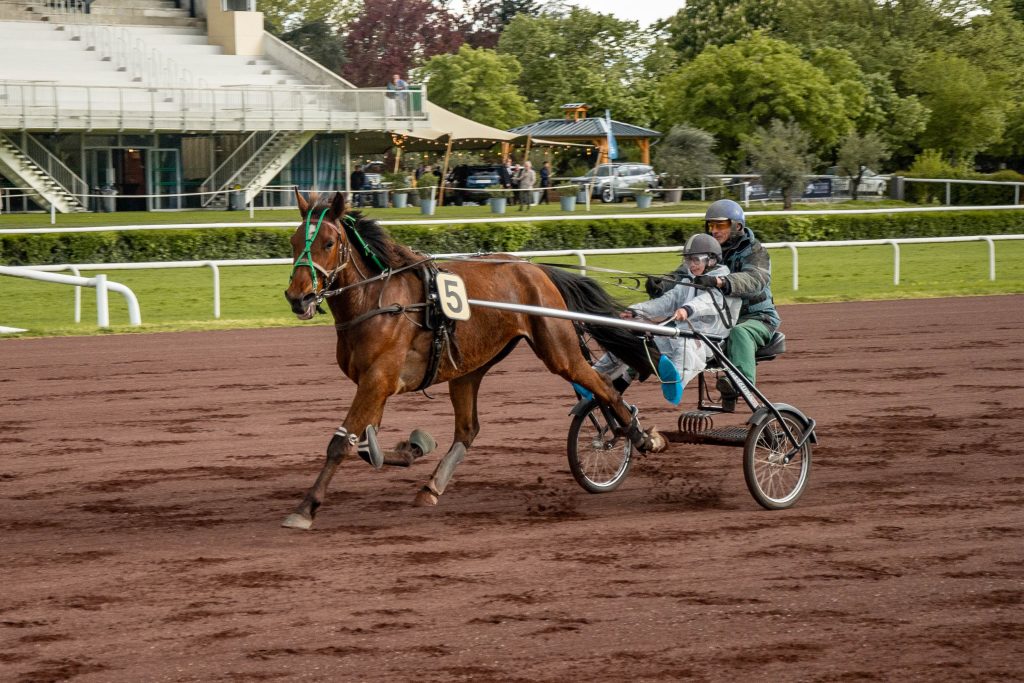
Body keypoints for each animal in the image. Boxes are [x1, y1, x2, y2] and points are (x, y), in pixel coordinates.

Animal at [281, 190, 662, 529]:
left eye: (328, 243)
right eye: (295, 241)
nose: (298, 298)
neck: (379, 301)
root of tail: (533, 268)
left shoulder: (377, 380)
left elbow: (340, 444)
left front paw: (305, 508)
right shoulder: (374, 383)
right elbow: (362, 446)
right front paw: (414, 447)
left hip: (559, 350)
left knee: (604, 388)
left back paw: (638, 436)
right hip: (469, 367)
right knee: (468, 428)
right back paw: (432, 487)